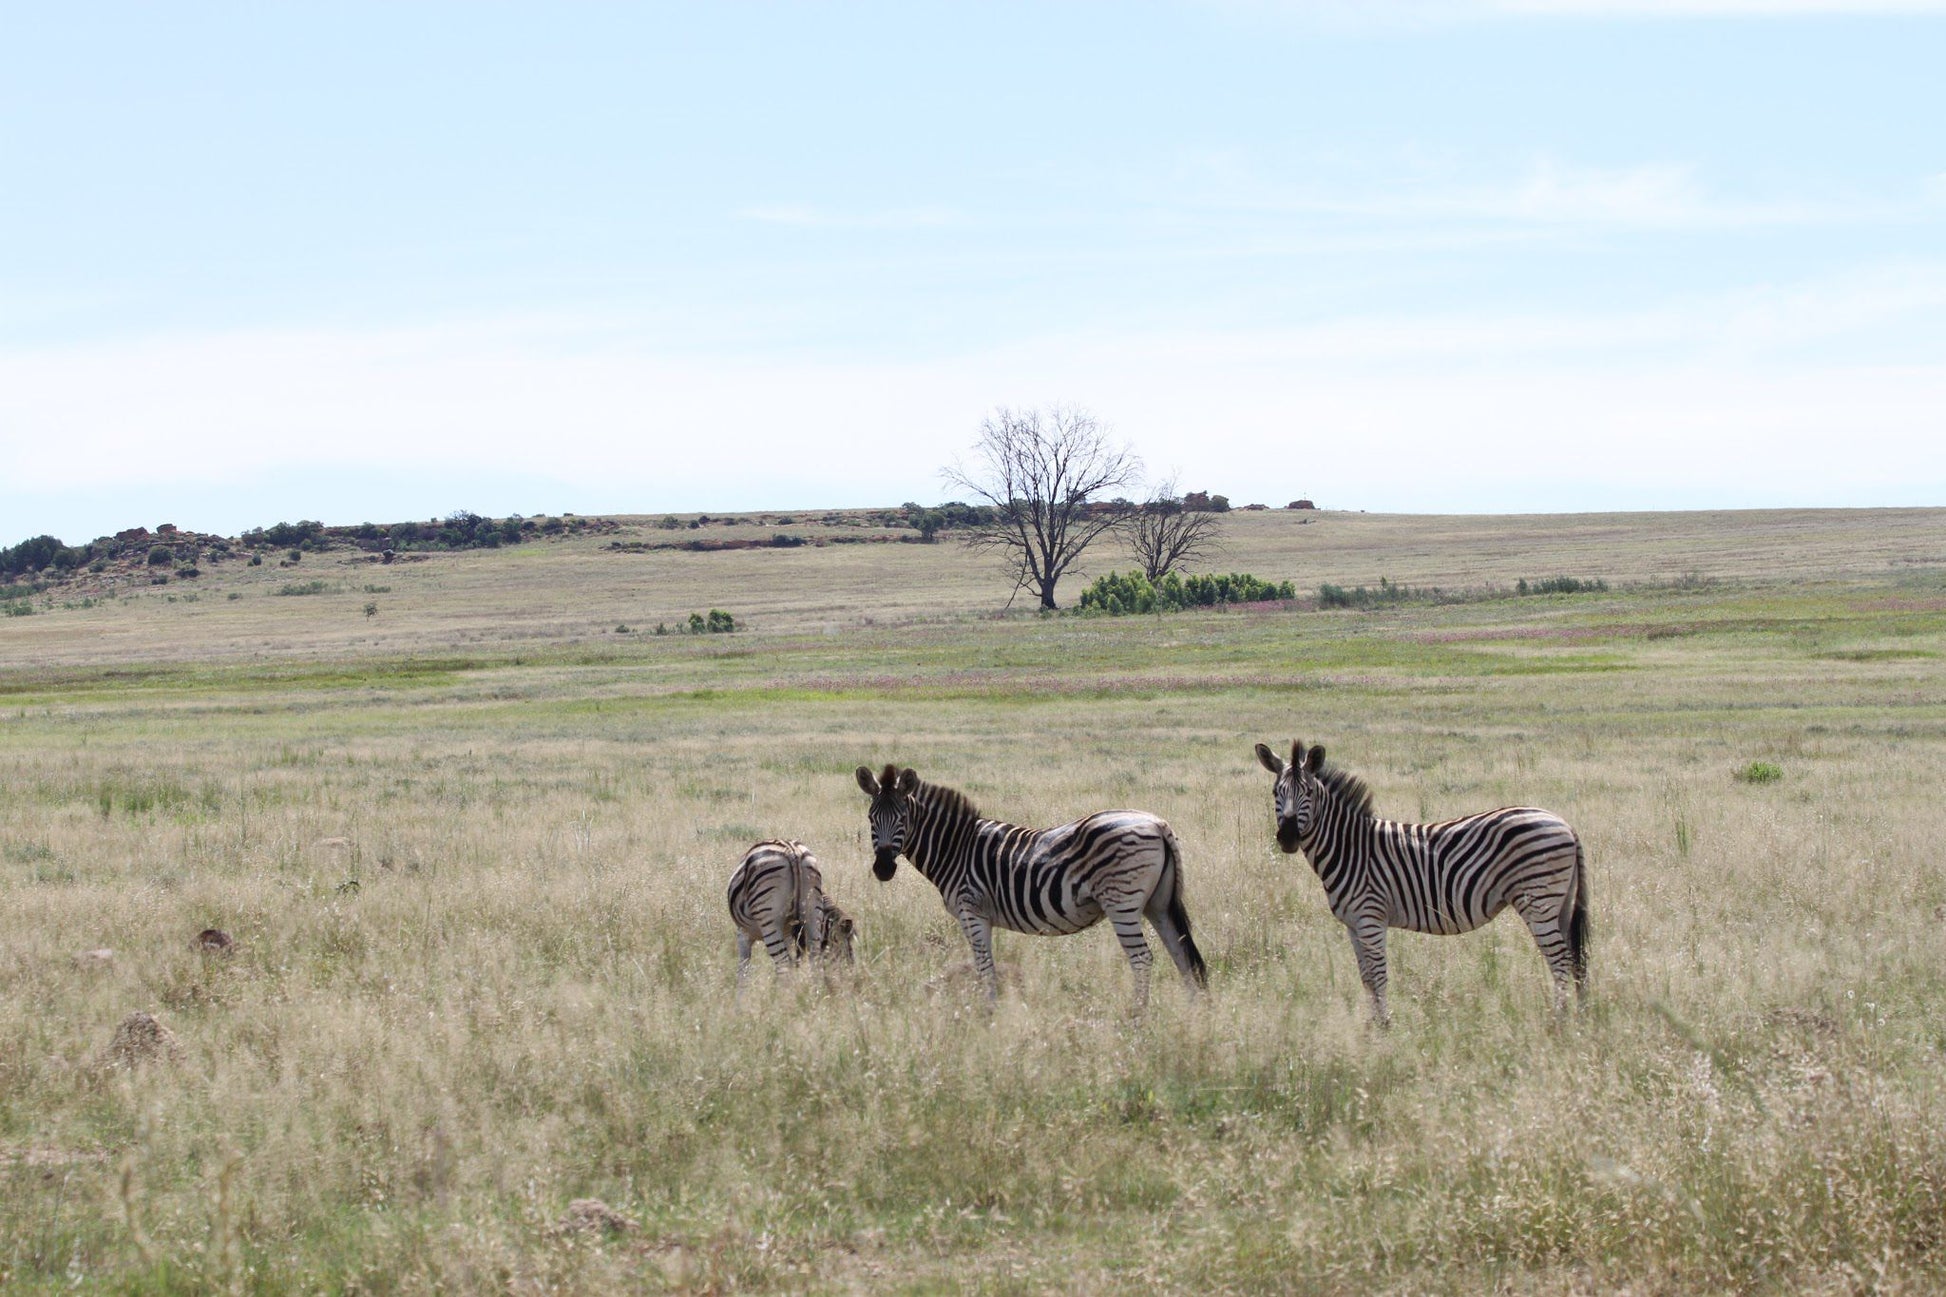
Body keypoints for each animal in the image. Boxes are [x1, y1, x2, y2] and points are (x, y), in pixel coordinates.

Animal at [727, 833, 856, 985]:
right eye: (842, 946)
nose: (852, 975)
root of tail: (792, 851)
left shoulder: (743, 934)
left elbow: (743, 972)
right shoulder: (787, 935)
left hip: (769, 920)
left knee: (782, 964)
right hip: (812, 913)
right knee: (814, 962)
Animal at [852, 759, 1198, 1012]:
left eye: (903, 818)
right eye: (870, 818)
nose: (883, 869)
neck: (955, 847)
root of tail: (1157, 823)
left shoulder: (971, 911)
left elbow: (985, 967)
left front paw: (988, 1014)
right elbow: (986, 967)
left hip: (1122, 902)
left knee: (1142, 960)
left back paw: (1136, 1019)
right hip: (1158, 904)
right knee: (1183, 957)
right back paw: (1192, 1016)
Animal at [1253, 736, 1587, 1020]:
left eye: (1308, 793)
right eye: (1275, 793)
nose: (1287, 838)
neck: (1349, 847)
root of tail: (1565, 823)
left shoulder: (1371, 918)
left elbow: (1379, 976)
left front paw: (1385, 1028)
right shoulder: (1353, 924)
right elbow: (1366, 979)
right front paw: (1371, 1029)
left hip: (1538, 900)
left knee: (1560, 962)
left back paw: (1558, 1024)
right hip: (1558, 904)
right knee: (1573, 960)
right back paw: (1575, 1021)